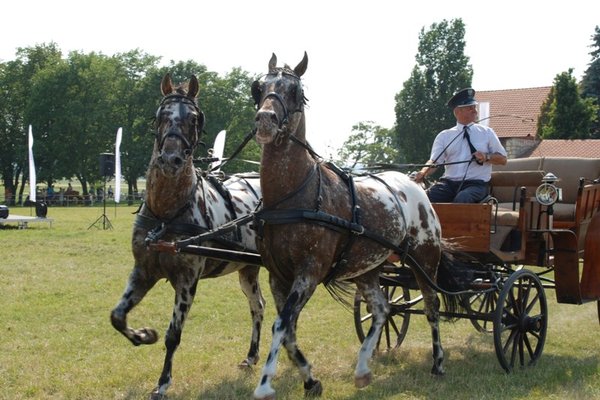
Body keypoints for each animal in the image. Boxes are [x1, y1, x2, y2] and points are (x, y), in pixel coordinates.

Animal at [110, 73, 264, 398]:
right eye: (160, 115)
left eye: (194, 118)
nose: (171, 159)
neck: (166, 214)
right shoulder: (143, 271)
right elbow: (117, 316)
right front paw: (143, 335)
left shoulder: (187, 280)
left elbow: (174, 335)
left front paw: (162, 382)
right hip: (248, 270)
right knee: (258, 307)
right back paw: (252, 355)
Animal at [250, 52, 446, 396]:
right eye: (259, 88)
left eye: (296, 92)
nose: (264, 120)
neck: (293, 197)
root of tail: (414, 183)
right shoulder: (277, 276)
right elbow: (288, 330)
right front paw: (310, 380)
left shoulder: (310, 272)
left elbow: (282, 324)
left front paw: (264, 385)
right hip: (366, 269)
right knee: (382, 309)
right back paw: (363, 369)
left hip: (424, 260)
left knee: (432, 306)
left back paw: (437, 362)